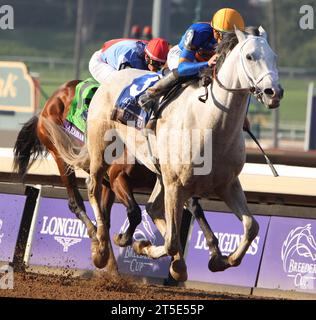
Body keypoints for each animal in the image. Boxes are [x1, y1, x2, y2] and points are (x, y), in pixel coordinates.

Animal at [42, 27, 284, 282]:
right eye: (250, 56)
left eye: (274, 57)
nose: (274, 92)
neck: (212, 123)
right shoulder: (175, 184)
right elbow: (170, 242)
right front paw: (142, 246)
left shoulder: (226, 184)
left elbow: (251, 227)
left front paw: (219, 260)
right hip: (101, 148)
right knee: (93, 186)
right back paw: (100, 249)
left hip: (158, 172)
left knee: (151, 208)